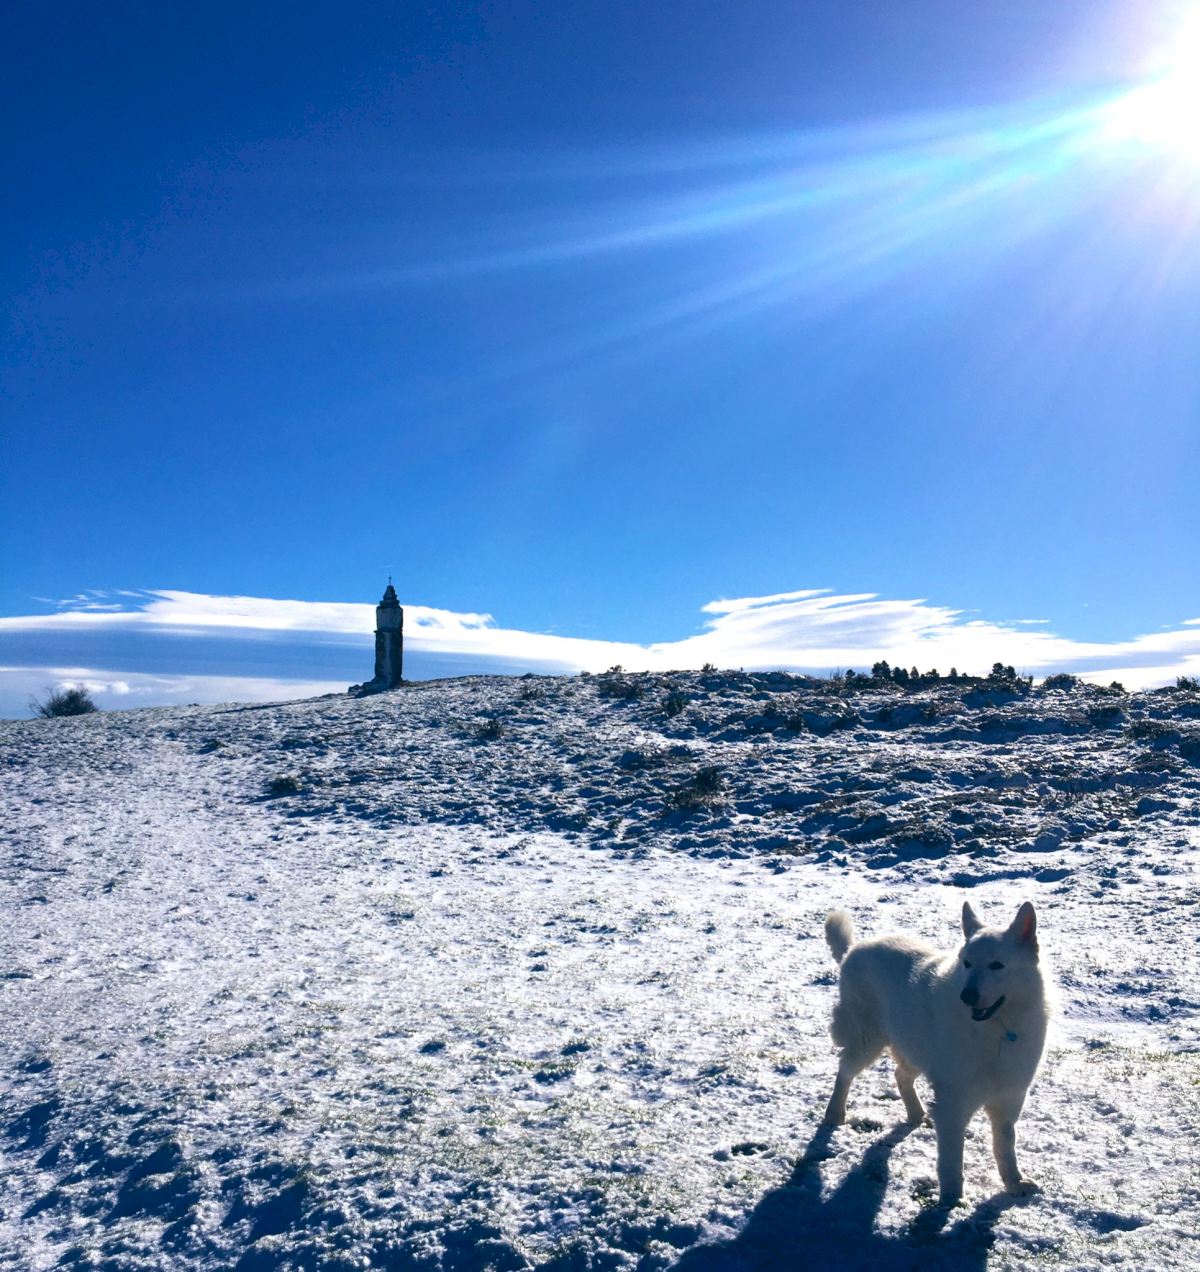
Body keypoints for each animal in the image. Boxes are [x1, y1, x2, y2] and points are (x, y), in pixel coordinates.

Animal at [822, 900, 1048, 1206]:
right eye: (967, 963)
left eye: (997, 965)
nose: (967, 996)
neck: (997, 1030)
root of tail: (853, 949)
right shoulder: (953, 1105)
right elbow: (952, 1158)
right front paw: (951, 1200)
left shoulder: (1008, 1099)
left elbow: (1005, 1147)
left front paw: (1014, 1183)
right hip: (867, 1041)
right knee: (844, 1071)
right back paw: (835, 1112)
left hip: (913, 1048)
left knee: (900, 1076)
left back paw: (916, 1114)